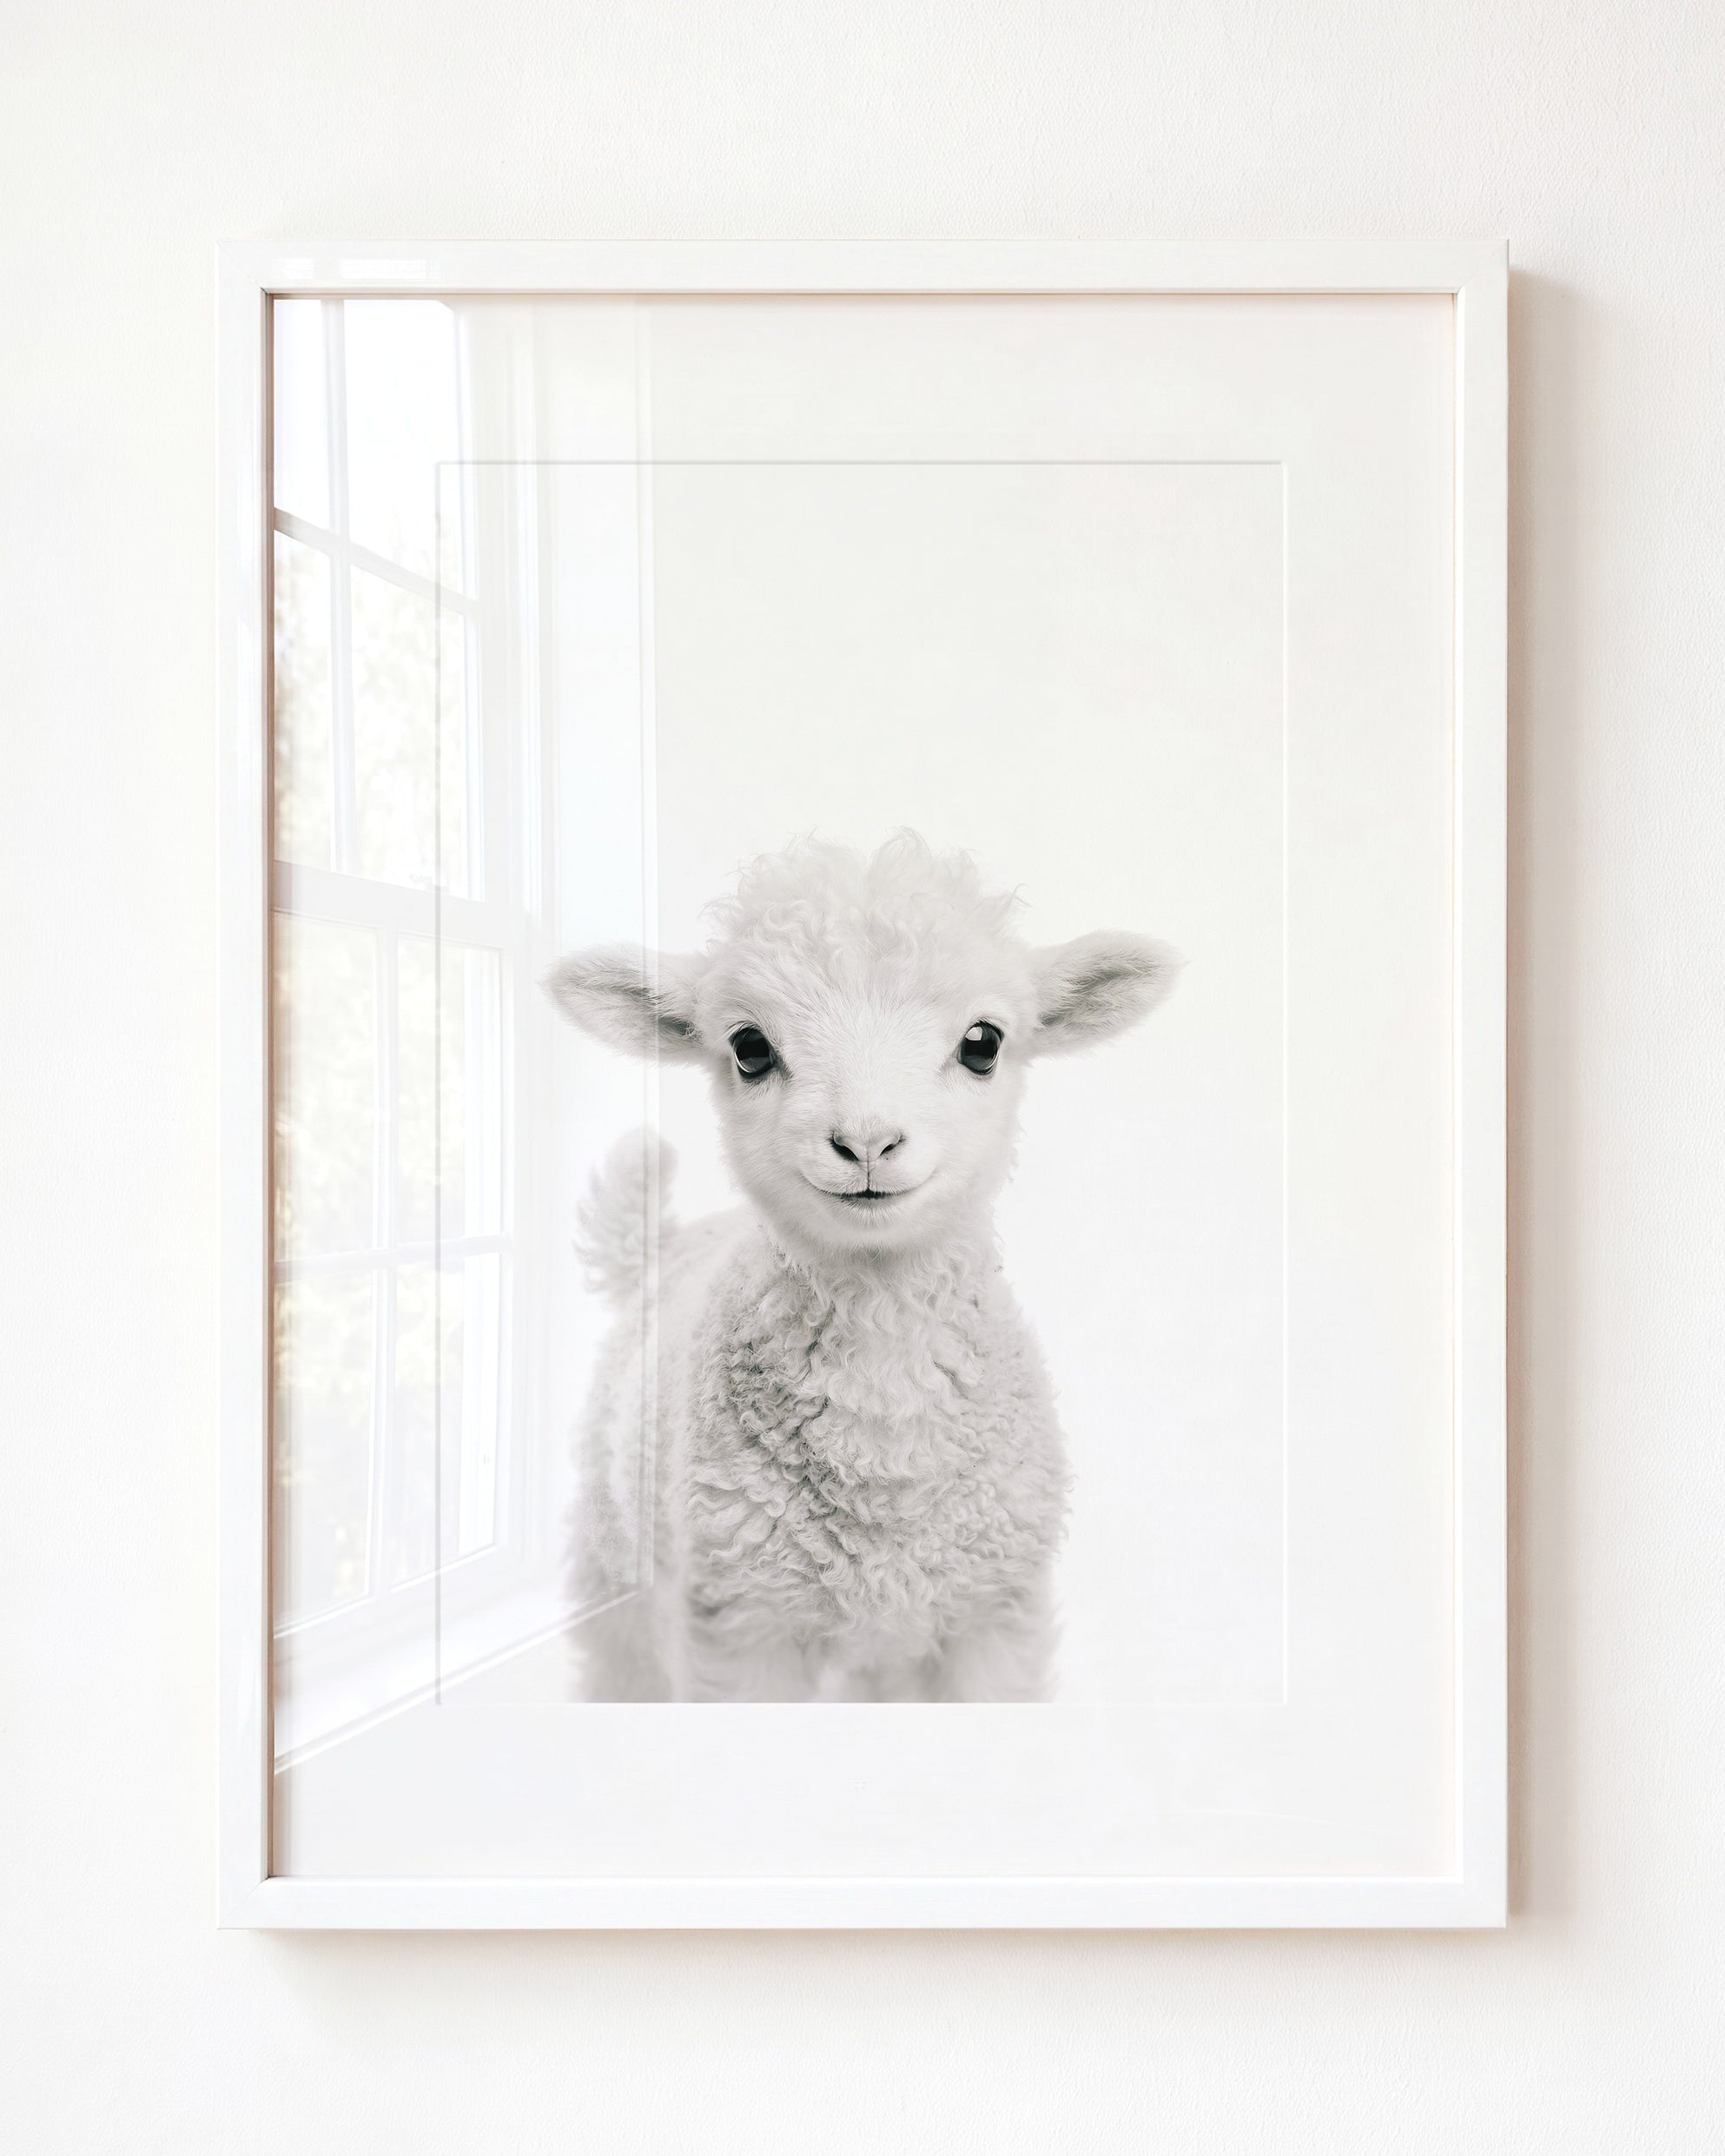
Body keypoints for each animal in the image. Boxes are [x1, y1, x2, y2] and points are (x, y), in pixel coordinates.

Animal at [544, 832, 1178, 1701]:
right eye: (749, 1048)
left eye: (983, 1043)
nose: (867, 1142)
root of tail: (666, 1243)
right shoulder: (742, 1626)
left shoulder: (992, 1617)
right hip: (619, 1576)